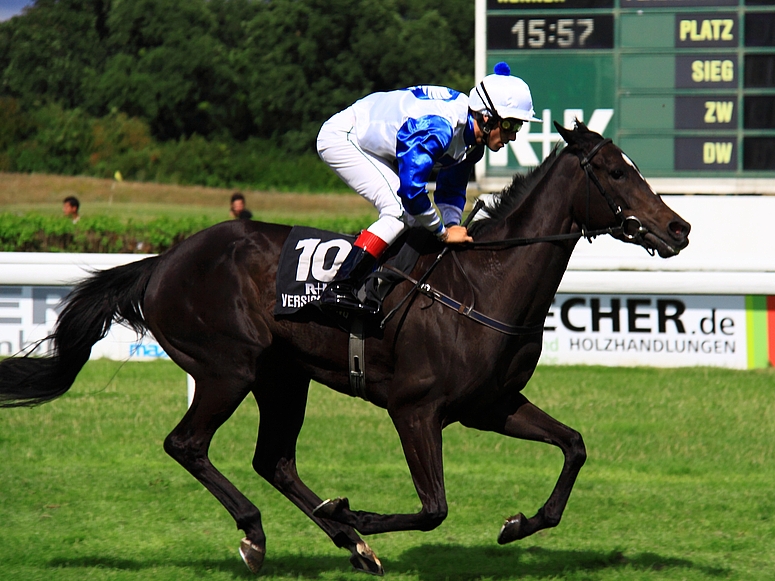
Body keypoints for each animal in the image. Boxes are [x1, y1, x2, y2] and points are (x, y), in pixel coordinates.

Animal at [0, 122, 692, 576]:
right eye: (614, 171)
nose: (679, 227)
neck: (481, 286)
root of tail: (163, 260)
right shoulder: (415, 409)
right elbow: (434, 507)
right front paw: (356, 515)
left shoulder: (490, 404)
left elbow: (574, 446)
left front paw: (519, 523)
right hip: (228, 369)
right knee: (187, 445)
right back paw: (261, 533)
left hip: (283, 377)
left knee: (274, 460)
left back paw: (339, 540)